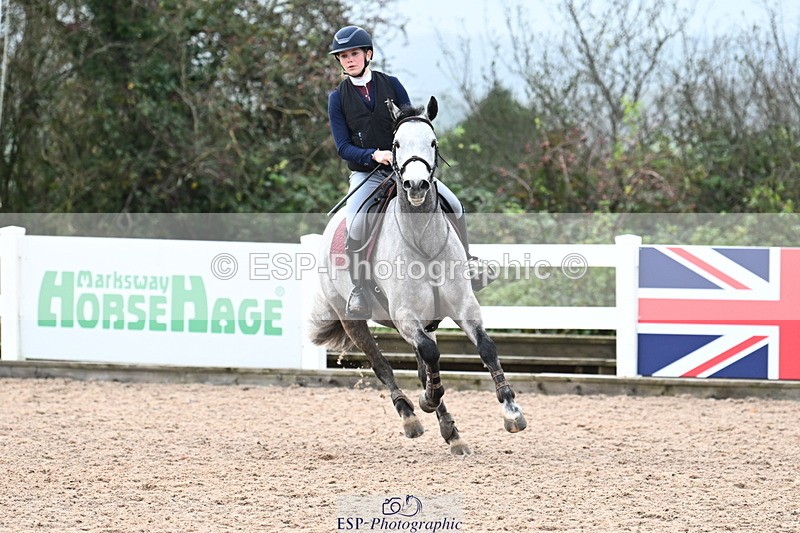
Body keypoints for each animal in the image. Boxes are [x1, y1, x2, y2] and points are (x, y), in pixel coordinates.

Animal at [309, 96, 526, 456]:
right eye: (395, 144)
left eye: (433, 143)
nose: (416, 186)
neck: (423, 242)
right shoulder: (405, 316)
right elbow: (428, 359)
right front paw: (427, 400)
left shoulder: (464, 307)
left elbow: (485, 348)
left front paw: (511, 411)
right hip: (353, 320)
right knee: (382, 364)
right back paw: (411, 417)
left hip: (427, 321)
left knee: (424, 363)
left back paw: (452, 433)